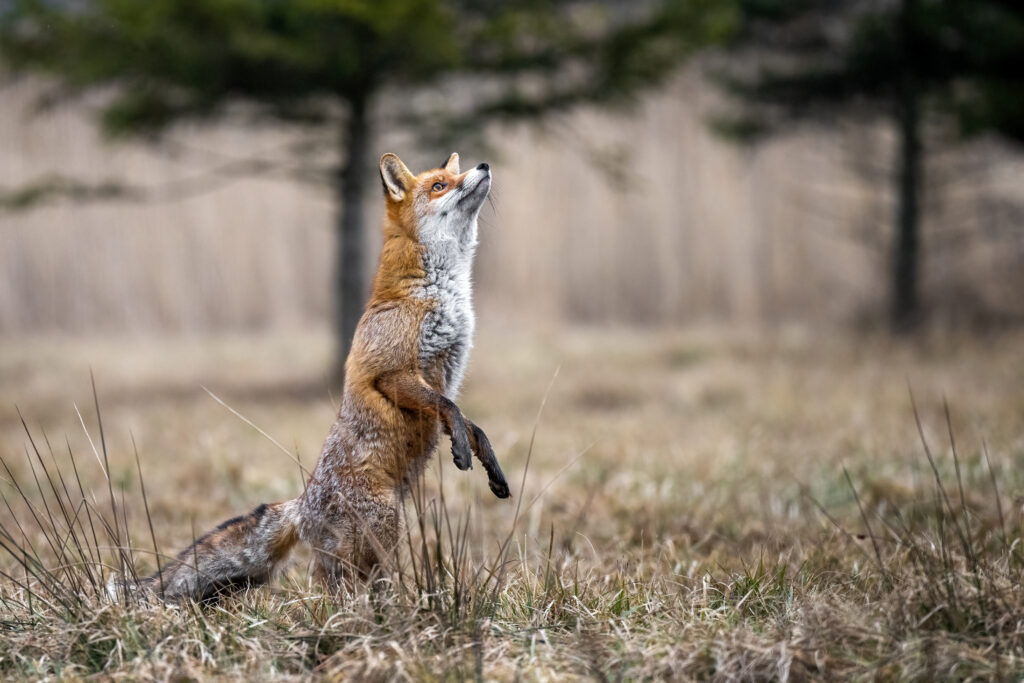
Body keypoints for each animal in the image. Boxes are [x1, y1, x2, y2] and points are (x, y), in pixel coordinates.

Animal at [119, 152, 507, 602]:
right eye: (439, 186)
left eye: (452, 176)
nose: (483, 166)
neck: (437, 292)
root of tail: (302, 505)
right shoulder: (391, 373)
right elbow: (450, 408)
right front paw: (461, 449)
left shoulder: (446, 372)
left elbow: (470, 422)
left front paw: (489, 465)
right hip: (384, 527)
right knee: (337, 587)